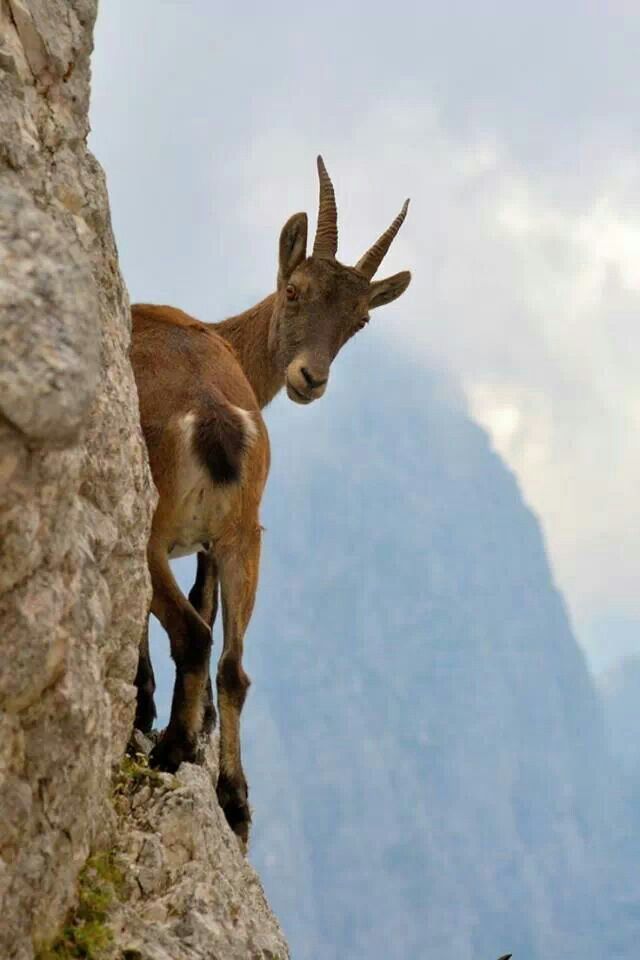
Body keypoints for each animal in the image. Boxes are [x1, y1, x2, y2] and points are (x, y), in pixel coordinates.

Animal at [130, 157, 411, 845]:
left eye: (360, 319)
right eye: (295, 291)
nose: (311, 378)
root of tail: (211, 415)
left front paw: (148, 709)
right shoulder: (212, 543)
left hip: (154, 531)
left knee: (193, 635)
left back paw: (170, 752)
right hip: (245, 536)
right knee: (234, 664)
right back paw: (233, 799)